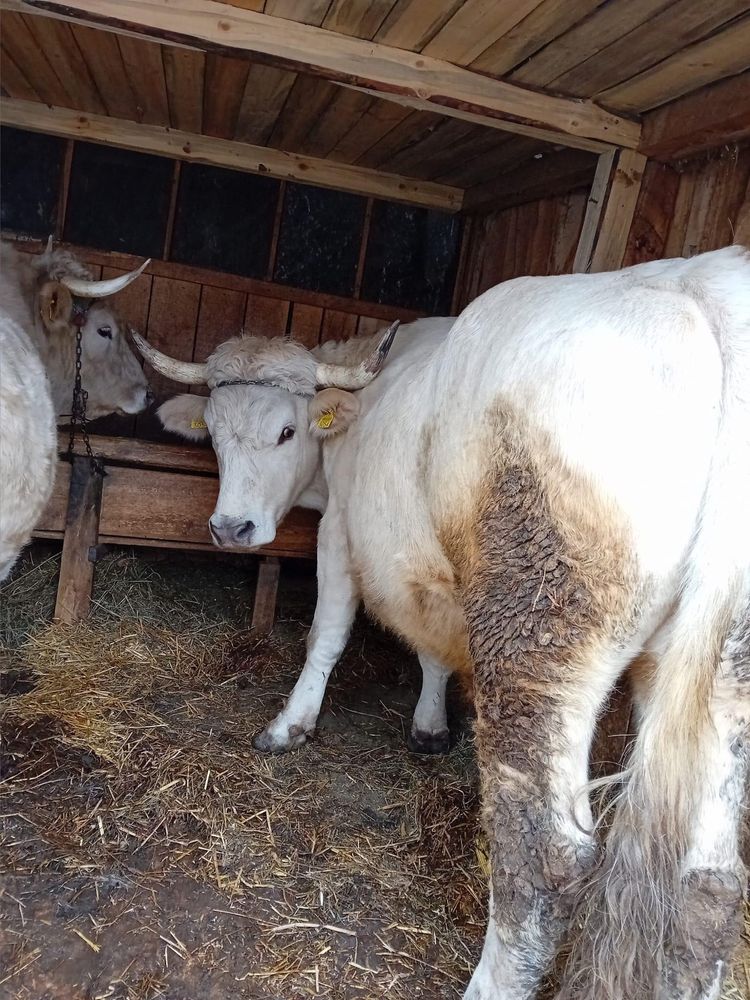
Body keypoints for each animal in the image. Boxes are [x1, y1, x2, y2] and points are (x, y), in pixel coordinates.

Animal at [137, 244, 750, 1000]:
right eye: (216, 436)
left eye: (286, 430)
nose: (231, 528)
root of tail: (706, 285)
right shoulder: (428, 574)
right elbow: (430, 649)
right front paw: (429, 726)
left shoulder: (344, 531)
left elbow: (329, 634)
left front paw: (290, 724)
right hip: (718, 680)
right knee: (708, 883)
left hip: (537, 629)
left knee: (547, 853)